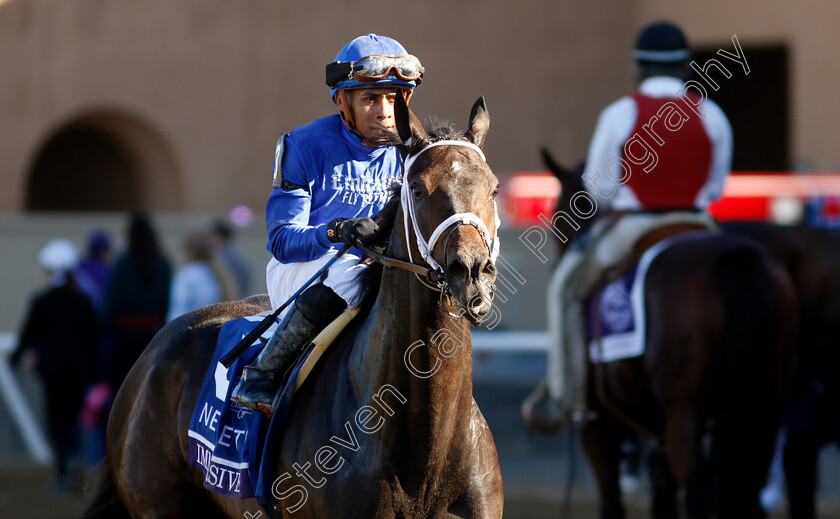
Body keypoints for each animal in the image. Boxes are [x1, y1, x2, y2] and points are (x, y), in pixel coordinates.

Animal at [83, 95, 506, 516]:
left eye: (494, 189)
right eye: (417, 189)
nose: (470, 271)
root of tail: (153, 349)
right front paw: (355, 228)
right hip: (157, 501)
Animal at [528, 152, 796, 519]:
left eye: (558, 216)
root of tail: (736, 260)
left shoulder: (599, 424)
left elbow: (612, 498)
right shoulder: (659, 432)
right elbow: (662, 493)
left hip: (686, 415)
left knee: (699, 491)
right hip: (765, 410)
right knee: (746, 492)